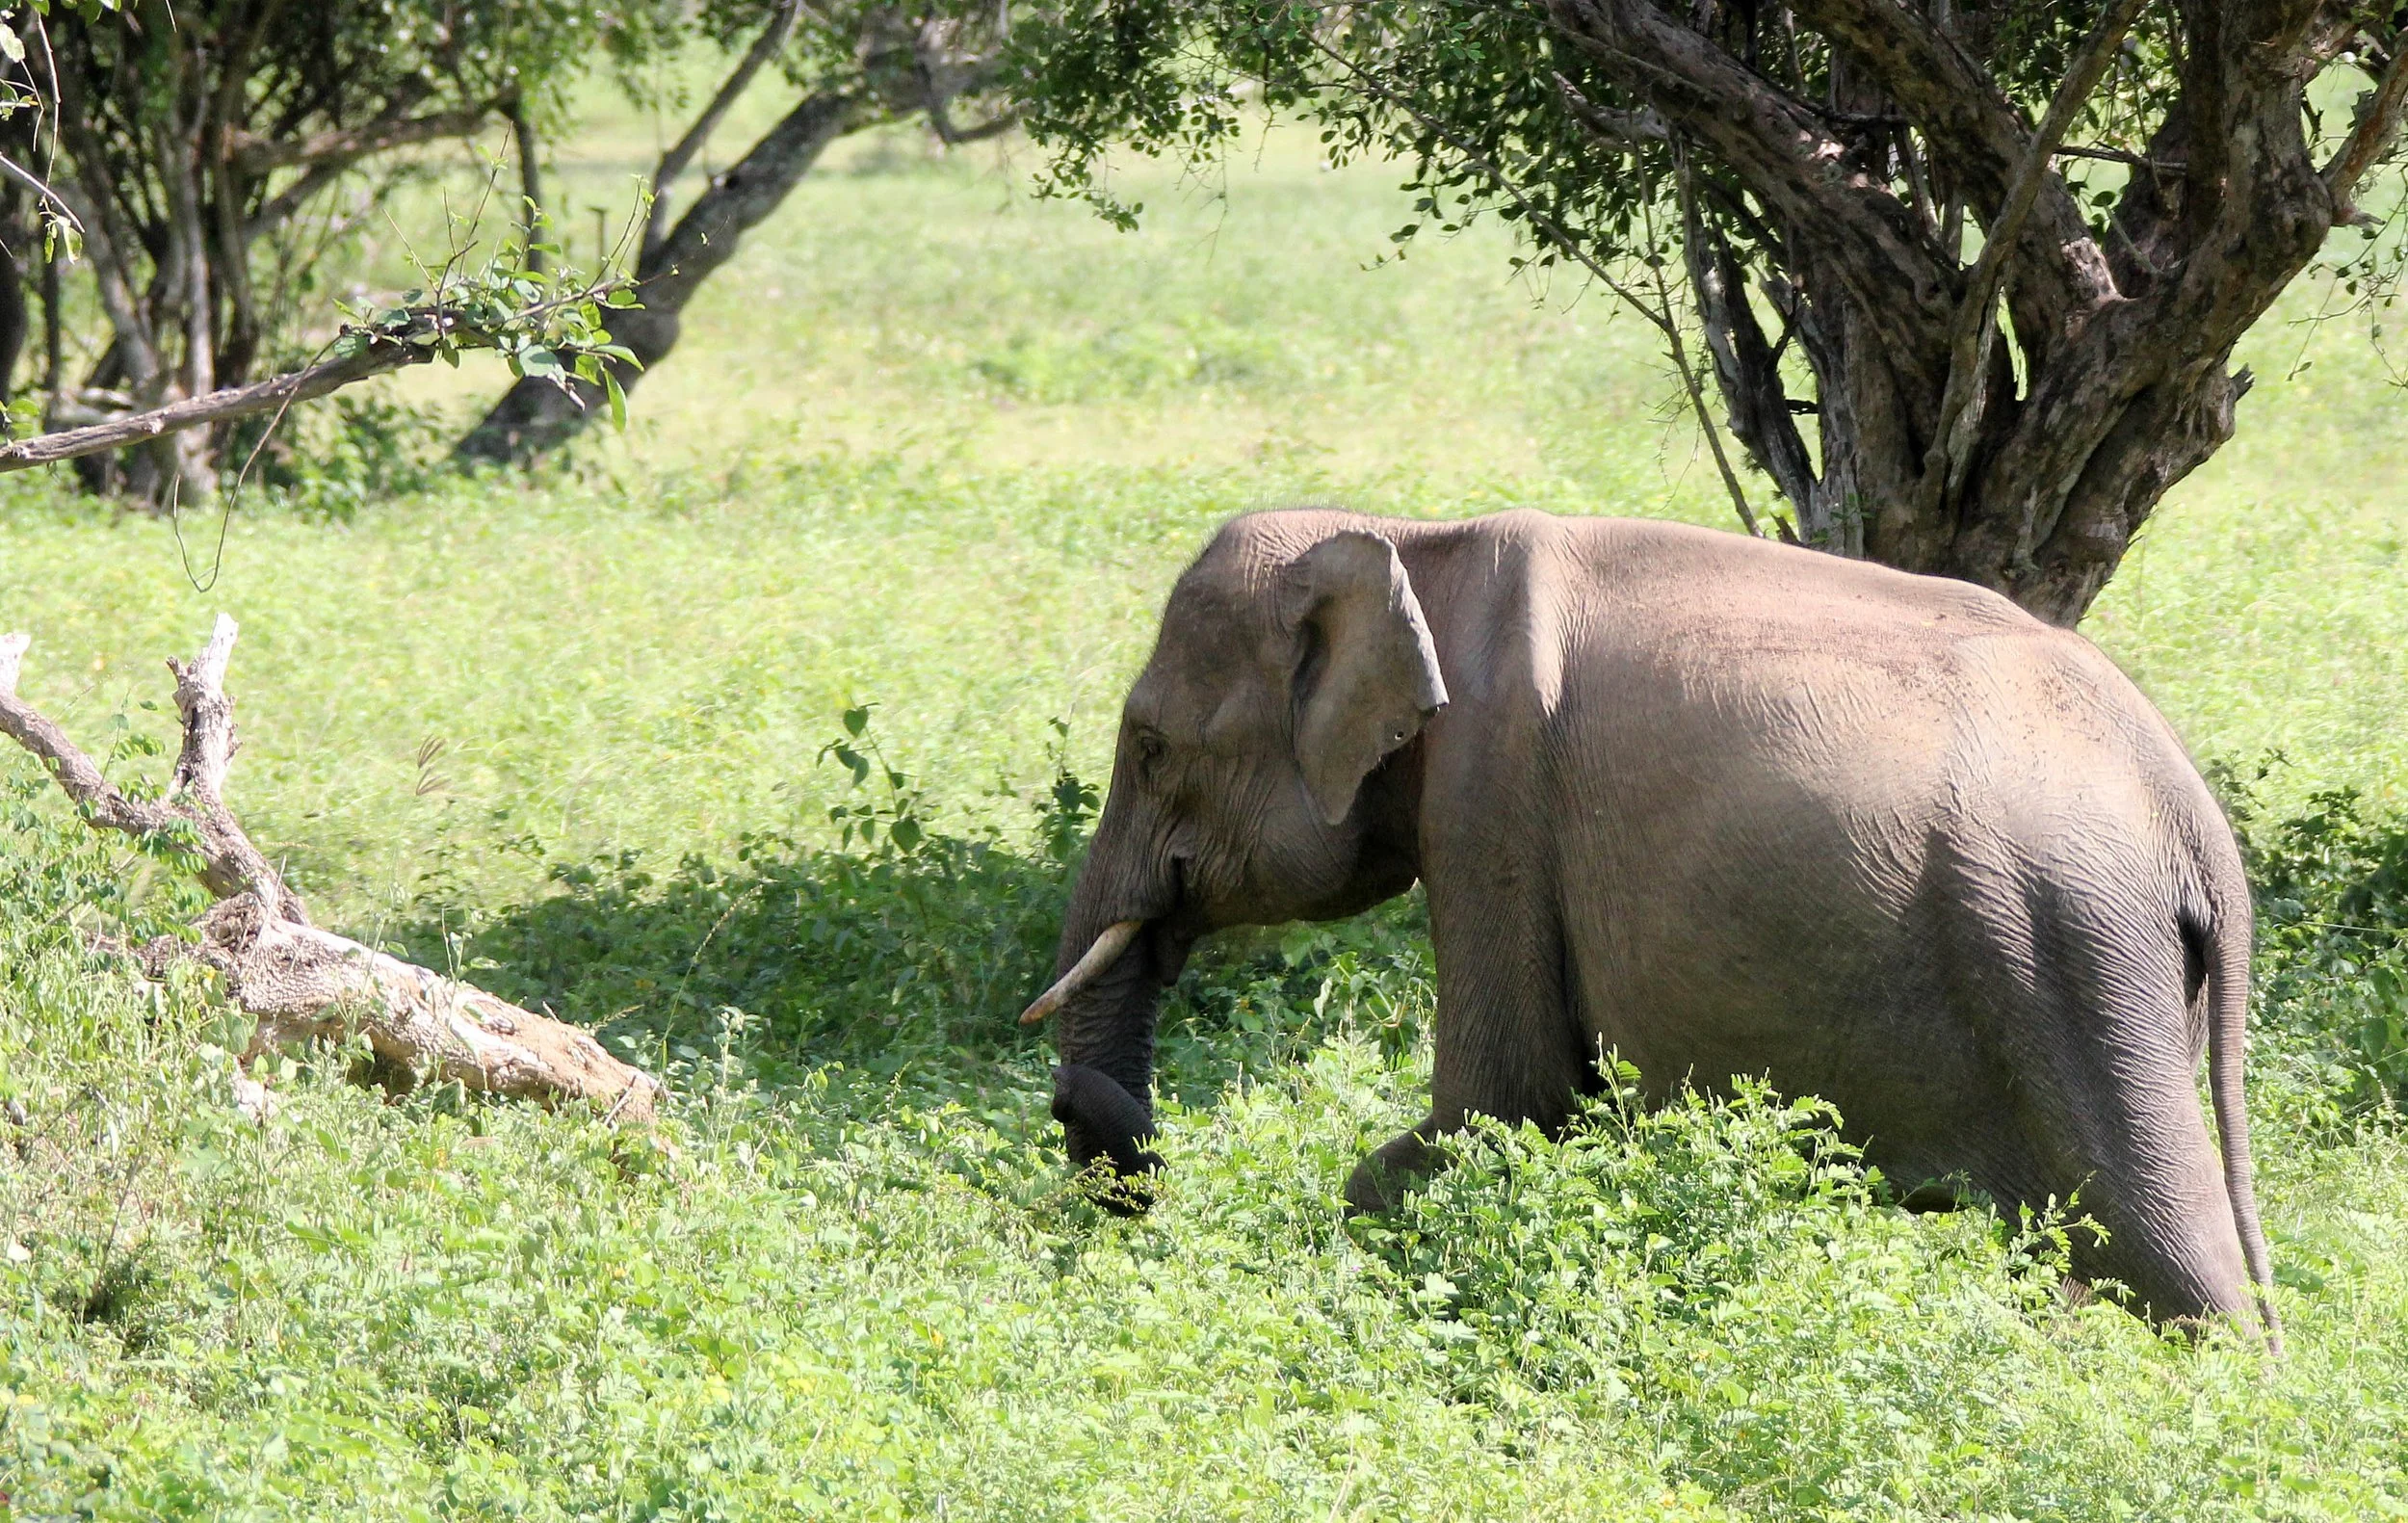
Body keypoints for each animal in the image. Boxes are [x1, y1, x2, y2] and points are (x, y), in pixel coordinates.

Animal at [1025, 506, 2277, 1344]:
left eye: (1151, 748)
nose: (1061, 1101)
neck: (1410, 540)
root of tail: (2195, 825)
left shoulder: (1493, 799)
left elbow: (1501, 1103)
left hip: (2065, 951)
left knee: (2168, 1254)